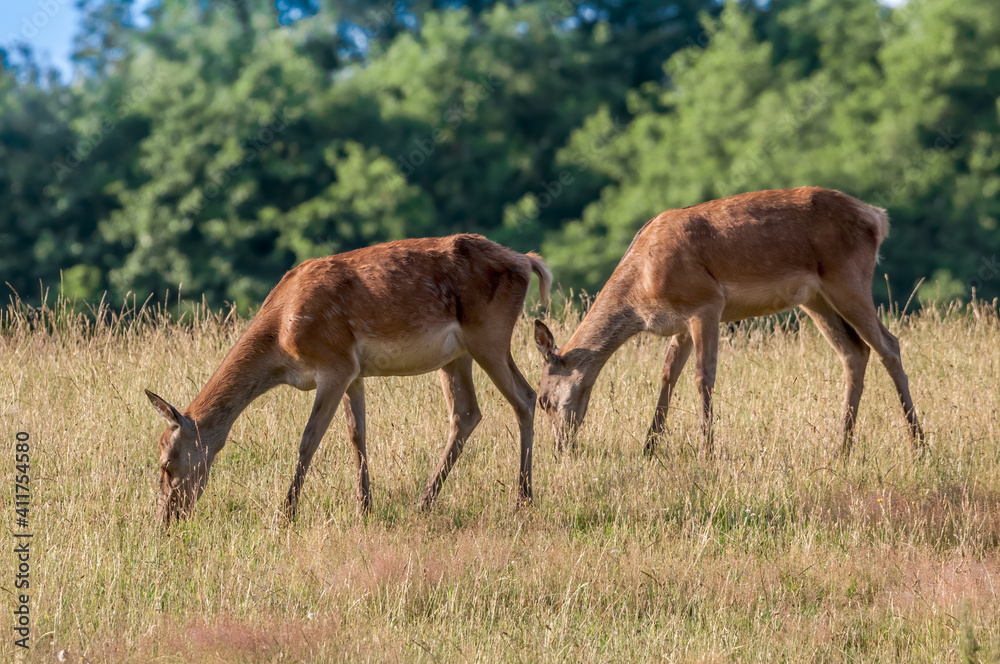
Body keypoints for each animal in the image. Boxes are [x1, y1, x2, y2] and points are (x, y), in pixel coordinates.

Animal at [145, 234, 551, 526]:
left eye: (166, 463)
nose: (167, 518)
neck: (280, 339)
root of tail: (528, 262)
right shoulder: (354, 370)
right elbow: (357, 434)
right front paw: (364, 507)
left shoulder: (334, 363)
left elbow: (308, 439)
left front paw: (286, 513)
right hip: (456, 354)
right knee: (467, 413)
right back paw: (423, 502)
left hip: (490, 334)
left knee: (525, 396)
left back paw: (523, 501)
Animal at [533, 187, 924, 457]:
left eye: (543, 400)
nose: (561, 447)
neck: (640, 290)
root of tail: (877, 218)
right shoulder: (680, 322)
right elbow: (667, 374)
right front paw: (649, 447)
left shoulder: (706, 303)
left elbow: (703, 376)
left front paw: (706, 451)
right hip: (815, 298)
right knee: (854, 351)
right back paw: (842, 447)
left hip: (848, 279)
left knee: (889, 344)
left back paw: (919, 445)